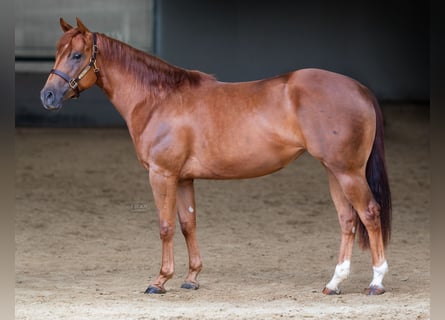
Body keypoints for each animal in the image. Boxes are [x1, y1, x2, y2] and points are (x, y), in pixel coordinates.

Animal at [40, 18, 390, 296]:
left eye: (76, 54)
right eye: (57, 52)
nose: (48, 96)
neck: (158, 99)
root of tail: (359, 88)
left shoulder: (162, 174)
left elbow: (166, 226)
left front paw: (160, 281)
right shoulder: (184, 178)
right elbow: (188, 224)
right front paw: (191, 278)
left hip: (348, 172)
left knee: (369, 214)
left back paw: (376, 282)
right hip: (334, 171)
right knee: (347, 220)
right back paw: (334, 283)